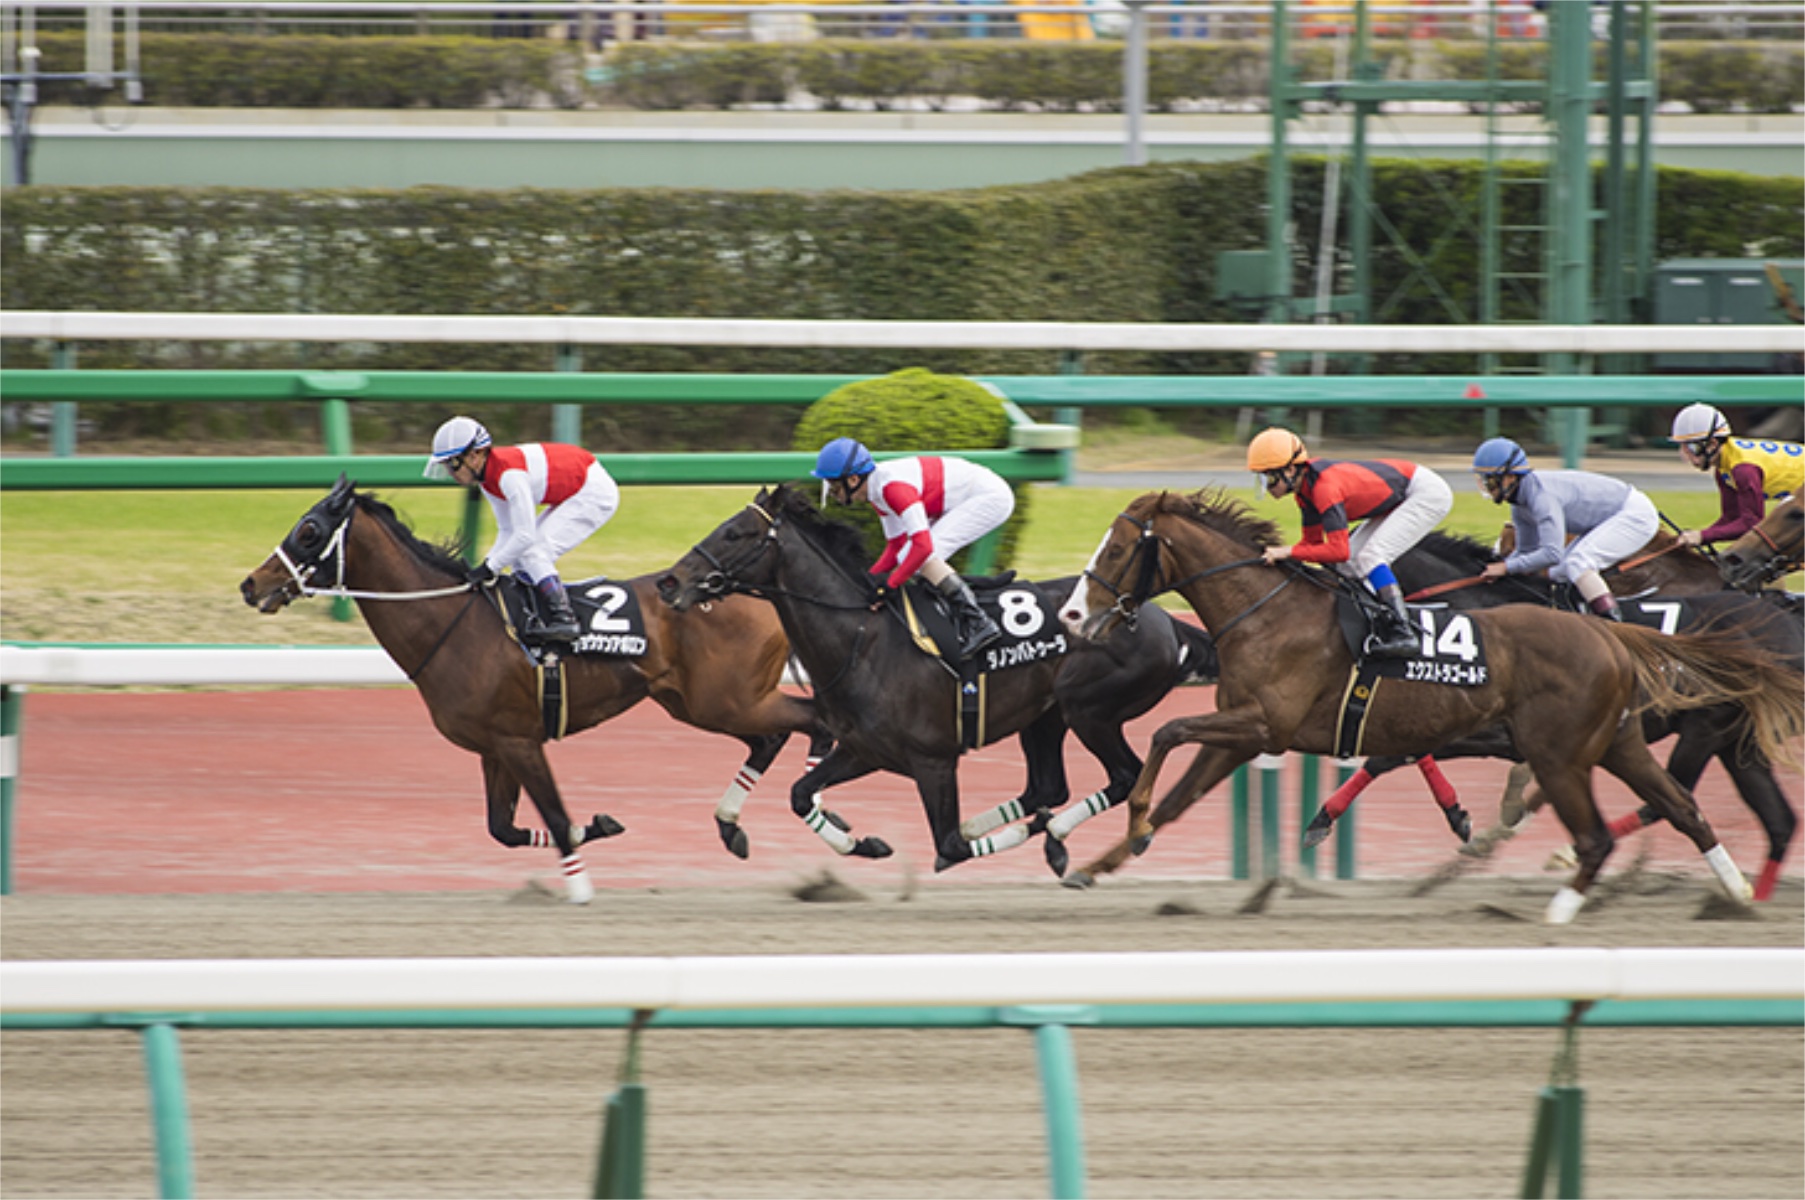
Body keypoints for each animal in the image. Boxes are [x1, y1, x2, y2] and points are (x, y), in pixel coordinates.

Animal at [238, 476, 830, 898]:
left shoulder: (521, 742)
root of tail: (756, 593)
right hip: (700, 704)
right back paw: (744, 825)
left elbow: (557, 819)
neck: (453, 622)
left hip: (727, 700)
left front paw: (581, 886)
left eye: (309, 530)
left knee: (814, 720)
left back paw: (822, 810)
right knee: (772, 738)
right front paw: (602, 825)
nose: (251, 584)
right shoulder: (495, 746)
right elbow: (504, 827)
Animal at [657, 483, 1220, 869]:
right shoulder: (866, 750)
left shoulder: (934, 761)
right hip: (1045, 717)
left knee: (1122, 775)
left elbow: (948, 847)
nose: (668, 582)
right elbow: (800, 795)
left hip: (1090, 711)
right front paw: (864, 842)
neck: (864, 638)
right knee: (1048, 785)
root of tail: (1161, 617)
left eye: (737, 534)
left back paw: (1056, 836)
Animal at [1321, 530, 1797, 895]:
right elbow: (1396, 753)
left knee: (1672, 796)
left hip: (1704, 729)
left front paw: (1464, 819)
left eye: (1350, 576)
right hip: (1733, 740)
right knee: (1778, 821)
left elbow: (1392, 756)